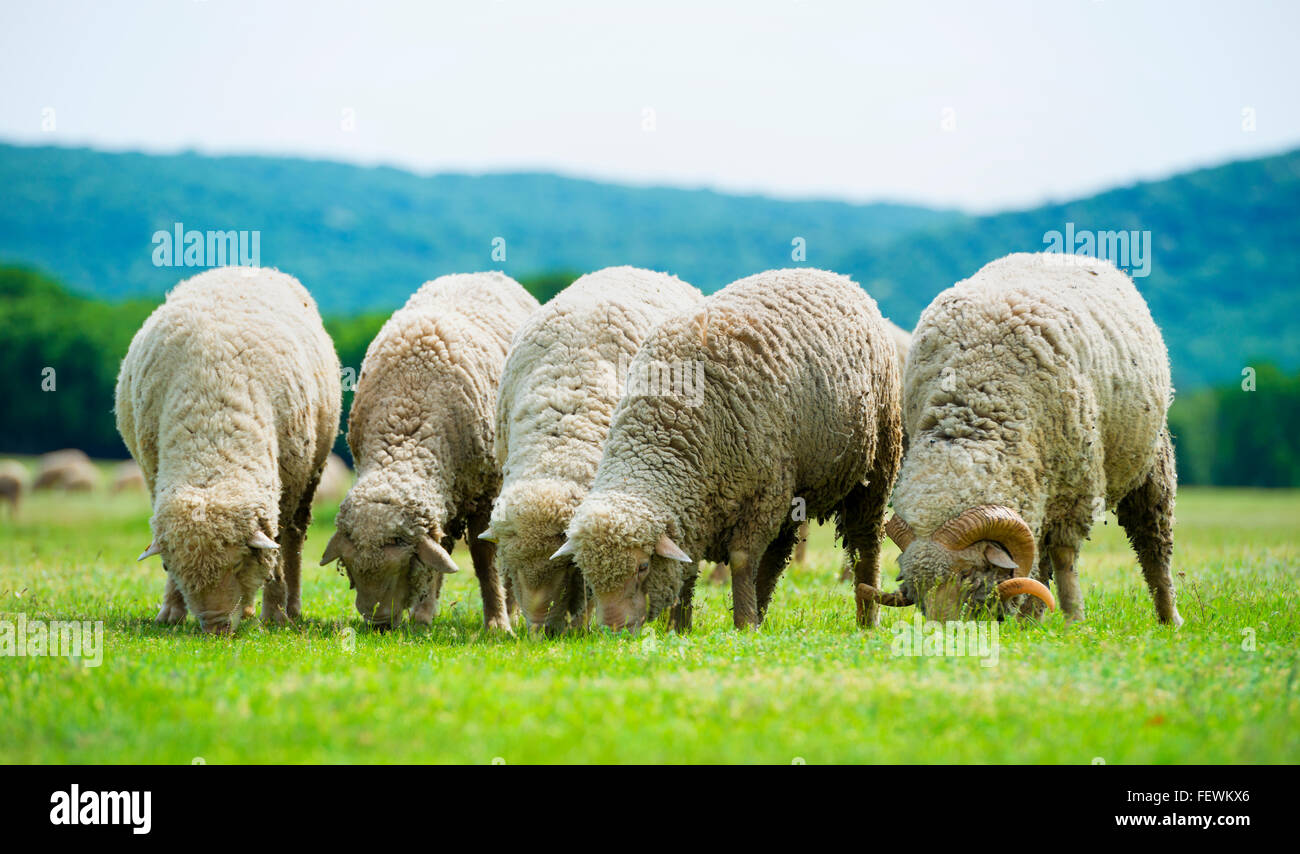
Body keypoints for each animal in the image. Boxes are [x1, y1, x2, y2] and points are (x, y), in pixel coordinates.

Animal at [116, 266, 341, 633]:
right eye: (173, 569)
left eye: (237, 565)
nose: (215, 628)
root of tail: (245, 267)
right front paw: (172, 610)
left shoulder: (288, 485)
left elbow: (277, 550)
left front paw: (275, 613)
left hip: (309, 475)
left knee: (293, 540)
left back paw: (291, 608)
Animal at [320, 272, 539, 631]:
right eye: (350, 568)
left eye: (401, 566)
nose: (378, 624)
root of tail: (477, 274)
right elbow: (439, 553)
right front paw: (423, 617)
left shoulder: (484, 491)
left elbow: (485, 560)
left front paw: (497, 622)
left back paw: (513, 612)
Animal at [555, 267, 903, 631]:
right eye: (587, 575)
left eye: (643, 567)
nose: (614, 631)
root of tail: (836, 277)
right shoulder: (698, 508)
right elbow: (689, 567)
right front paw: (680, 628)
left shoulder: (762, 496)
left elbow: (741, 560)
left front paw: (743, 625)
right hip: (792, 485)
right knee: (776, 557)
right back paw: (762, 613)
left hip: (875, 462)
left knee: (865, 545)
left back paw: (866, 619)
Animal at [864, 252, 1181, 626]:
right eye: (917, 590)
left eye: (967, 574)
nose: (944, 632)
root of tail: (1062, 254)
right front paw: (1031, 618)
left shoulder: (1075, 488)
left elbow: (1063, 556)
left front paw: (1073, 618)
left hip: (1149, 463)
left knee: (1153, 545)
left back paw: (1169, 618)